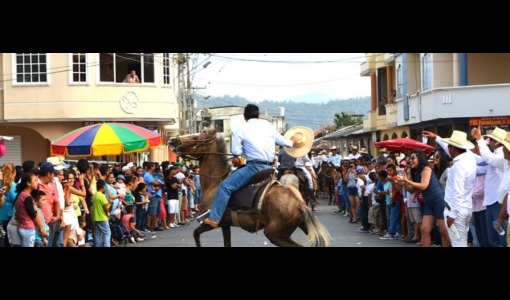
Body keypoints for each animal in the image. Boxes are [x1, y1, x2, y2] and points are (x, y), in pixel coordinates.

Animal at [169, 127, 332, 247]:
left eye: (197, 137)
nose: (172, 140)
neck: (215, 183)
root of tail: (298, 202)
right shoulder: (225, 225)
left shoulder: (210, 223)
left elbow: (196, 234)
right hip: (300, 227)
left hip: (275, 235)